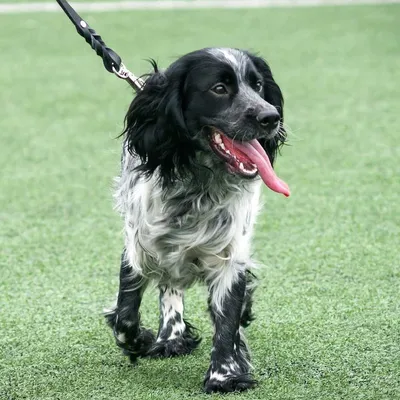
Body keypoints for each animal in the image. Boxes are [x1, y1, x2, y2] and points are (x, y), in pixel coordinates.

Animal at [104, 47, 290, 394]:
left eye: (258, 84)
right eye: (219, 88)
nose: (271, 117)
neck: (198, 184)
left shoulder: (231, 255)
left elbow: (227, 320)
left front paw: (224, 375)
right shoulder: (138, 246)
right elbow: (125, 315)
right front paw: (142, 340)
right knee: (169, 284)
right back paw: (171, 336)